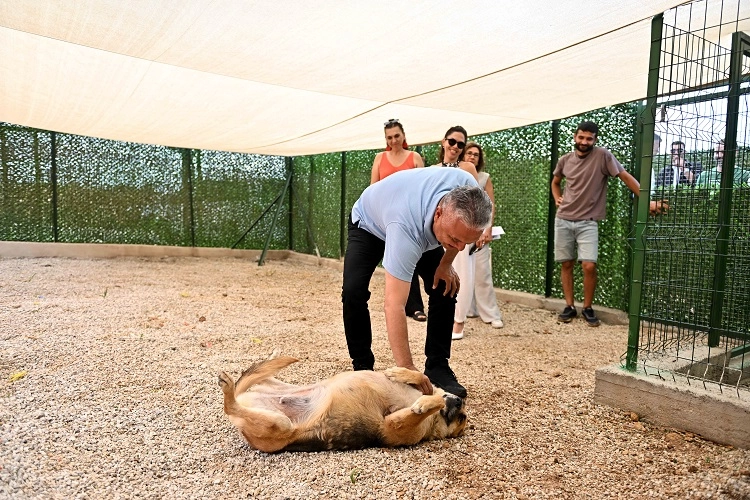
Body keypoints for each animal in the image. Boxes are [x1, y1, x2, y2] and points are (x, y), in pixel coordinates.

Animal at [217, 356, 468, 454]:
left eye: (462, 418)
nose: (459, 400)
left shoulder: (394, 425)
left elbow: (432, 401)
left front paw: (425, 404)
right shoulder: (425, 388)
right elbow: (421, 380)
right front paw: (399, 373)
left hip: (280, 425)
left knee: (230, 406)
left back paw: (229, 390)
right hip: (286, 388)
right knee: (261, 378)